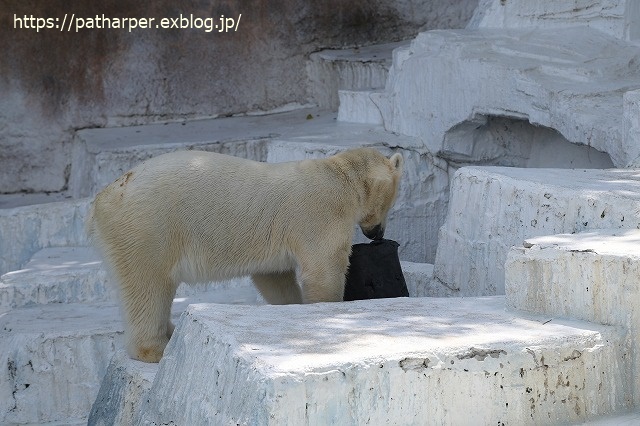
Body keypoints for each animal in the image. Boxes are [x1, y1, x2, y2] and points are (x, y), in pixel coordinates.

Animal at [87, 147, 402, 362]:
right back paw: (157, 348)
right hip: (147, 228)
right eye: (392, 200)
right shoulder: (321, 212)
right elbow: (323, 270)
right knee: (147, 287)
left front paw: (291, 306)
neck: (340, 174)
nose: (378, 234)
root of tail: (102, 199)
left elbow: (274, 277)